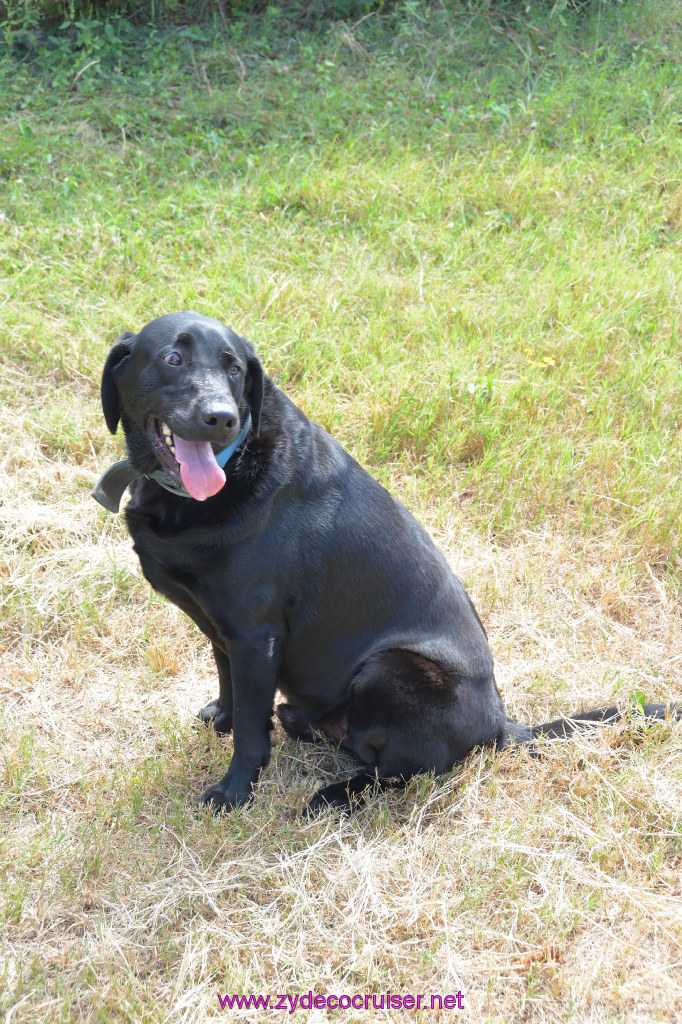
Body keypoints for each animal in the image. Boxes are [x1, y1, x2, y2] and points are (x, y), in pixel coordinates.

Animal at [93, 307, 675, 811]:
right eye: (173, 358)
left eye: (234, 369)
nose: (223, 419)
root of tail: (501, 726)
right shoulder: (224, 631)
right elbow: (229, 686)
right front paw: (221, 718)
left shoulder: (257, 635)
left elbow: (253, 735)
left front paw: (234, 794)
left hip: (390, 669)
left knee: (398, 773)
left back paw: (332, 795)